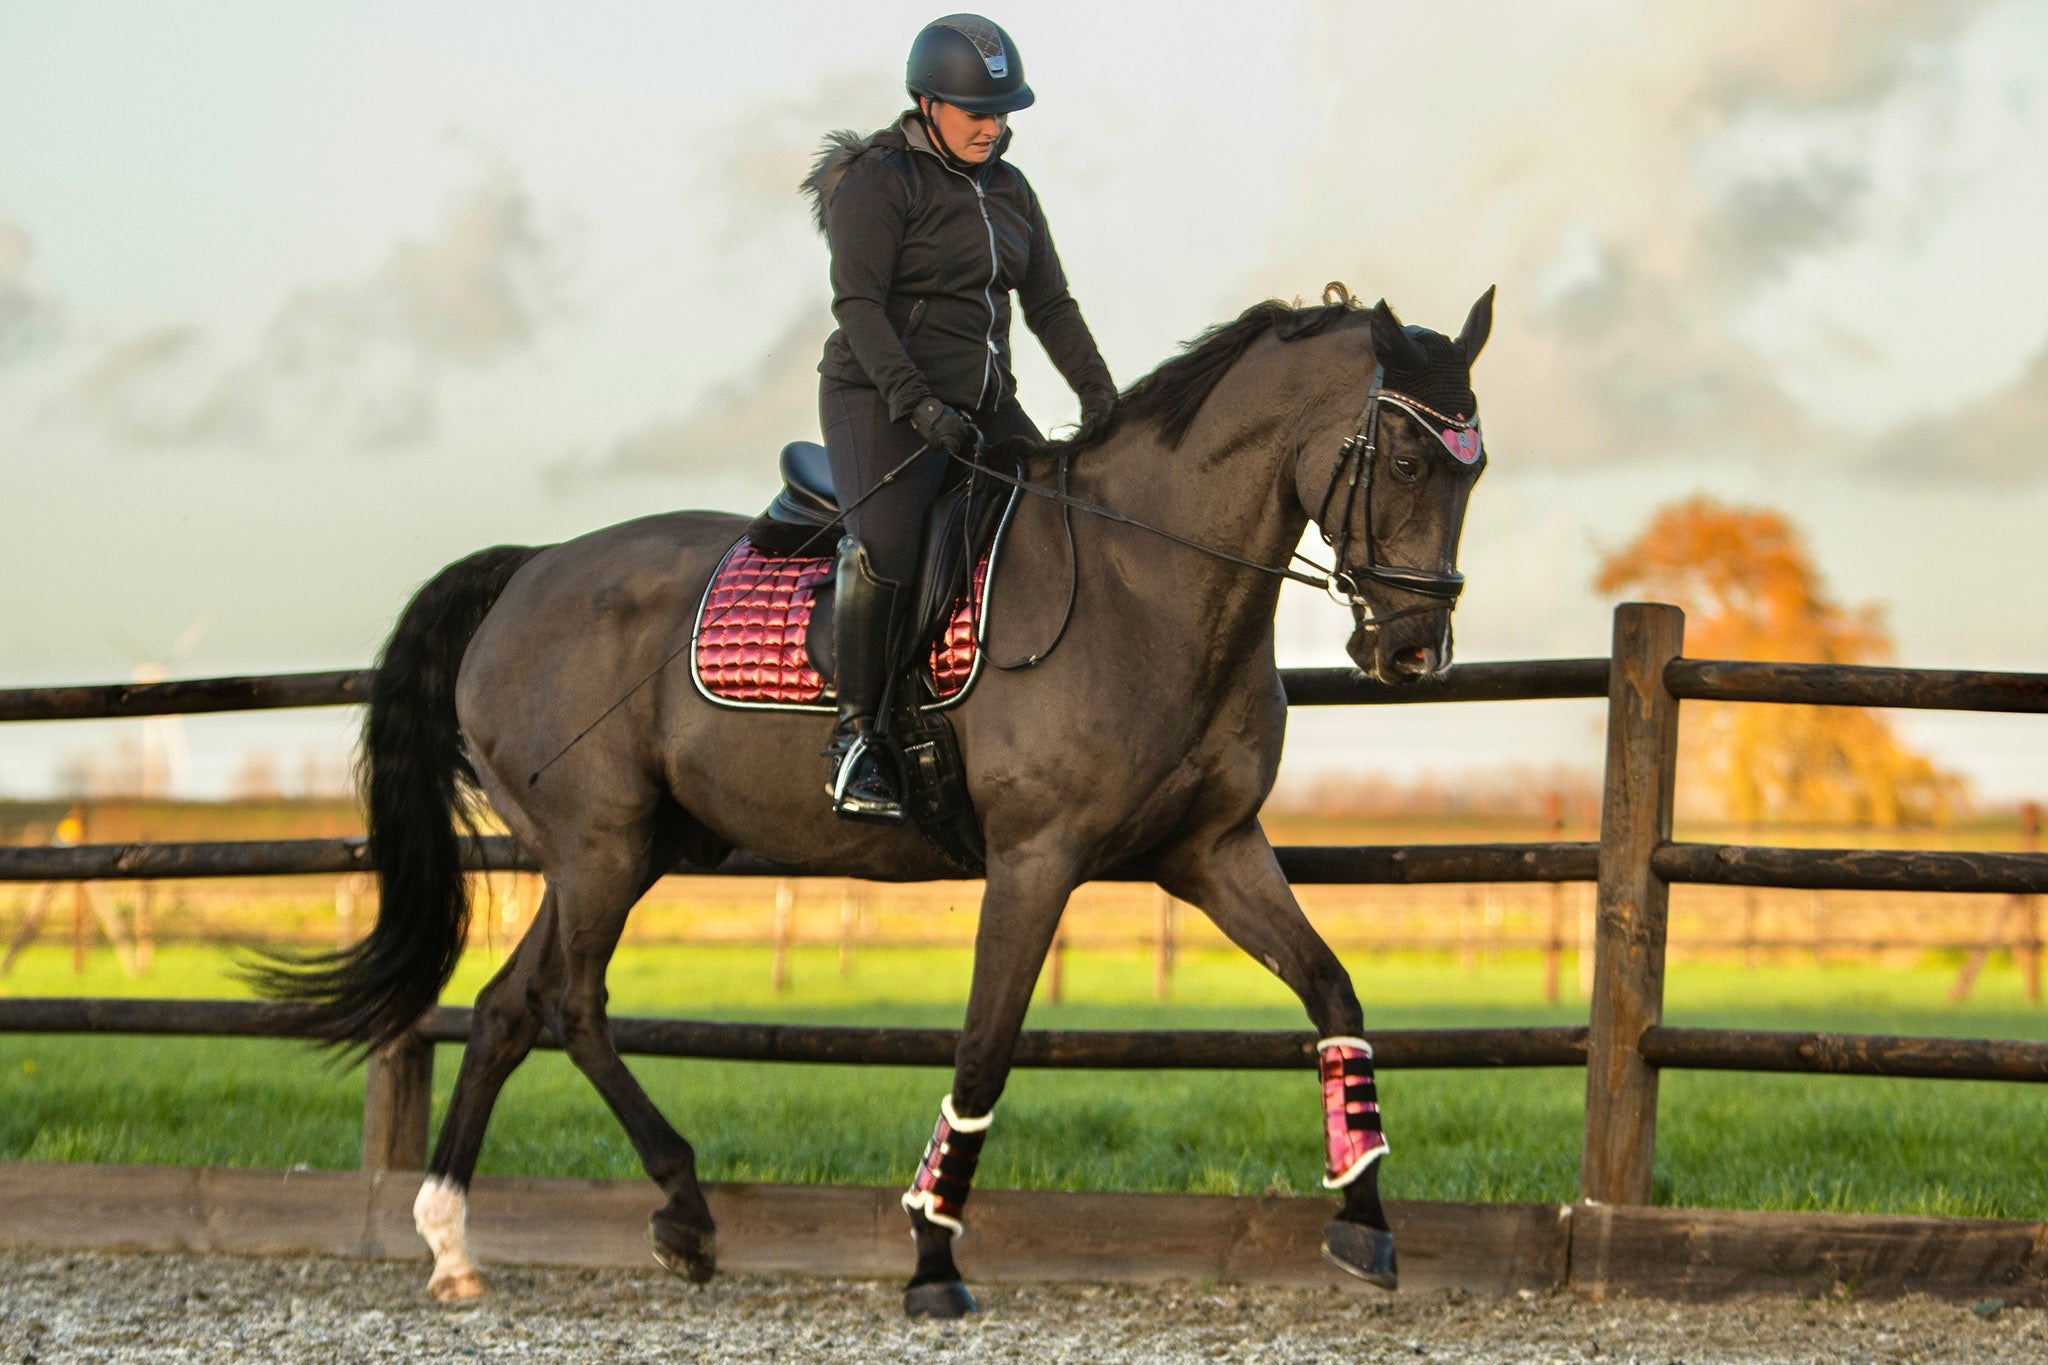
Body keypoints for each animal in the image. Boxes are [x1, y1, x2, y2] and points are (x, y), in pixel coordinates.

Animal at [264, 286, 1499, 1309]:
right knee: (572, 1005)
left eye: (1473, 471)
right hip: (597, 849)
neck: (1144, 586)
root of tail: (529, 568)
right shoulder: (1038, 858)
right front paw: (931, 1259)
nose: (1412, 651)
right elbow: (983, 1052)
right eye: (1402, 460)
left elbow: (1332, 993)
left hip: (628, 852)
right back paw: (681, 1207)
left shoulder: (1213, 851)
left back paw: (458, 1242)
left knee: (508, 1009)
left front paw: (1365, 1220)